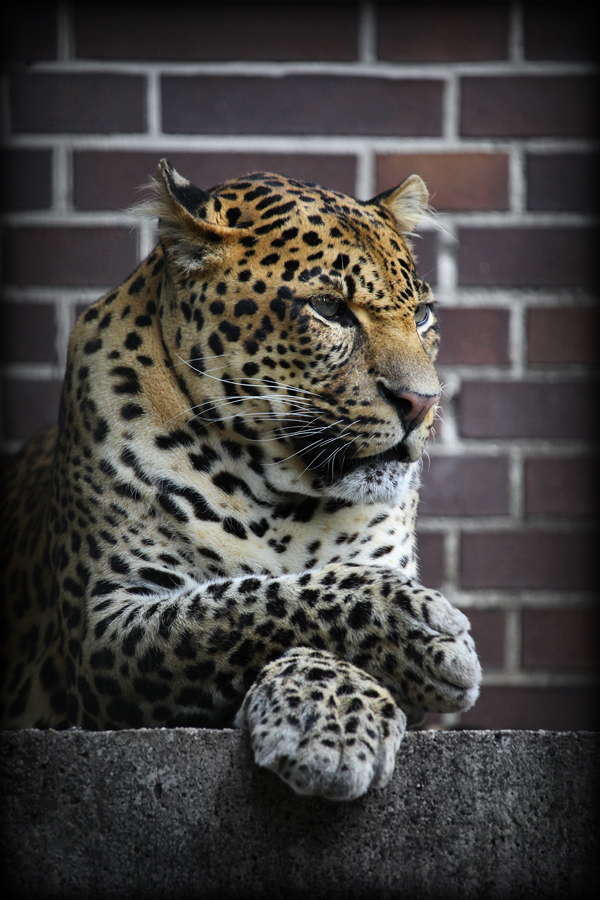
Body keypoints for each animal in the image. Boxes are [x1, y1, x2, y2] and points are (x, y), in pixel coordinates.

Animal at [0, 162, 478, 800]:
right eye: (329, 308)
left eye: (423, 315)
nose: (422, 403)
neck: (288, 498)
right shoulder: (103, 625)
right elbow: (241, 608)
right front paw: (411, 641)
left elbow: (286, 591)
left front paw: (332, 718)